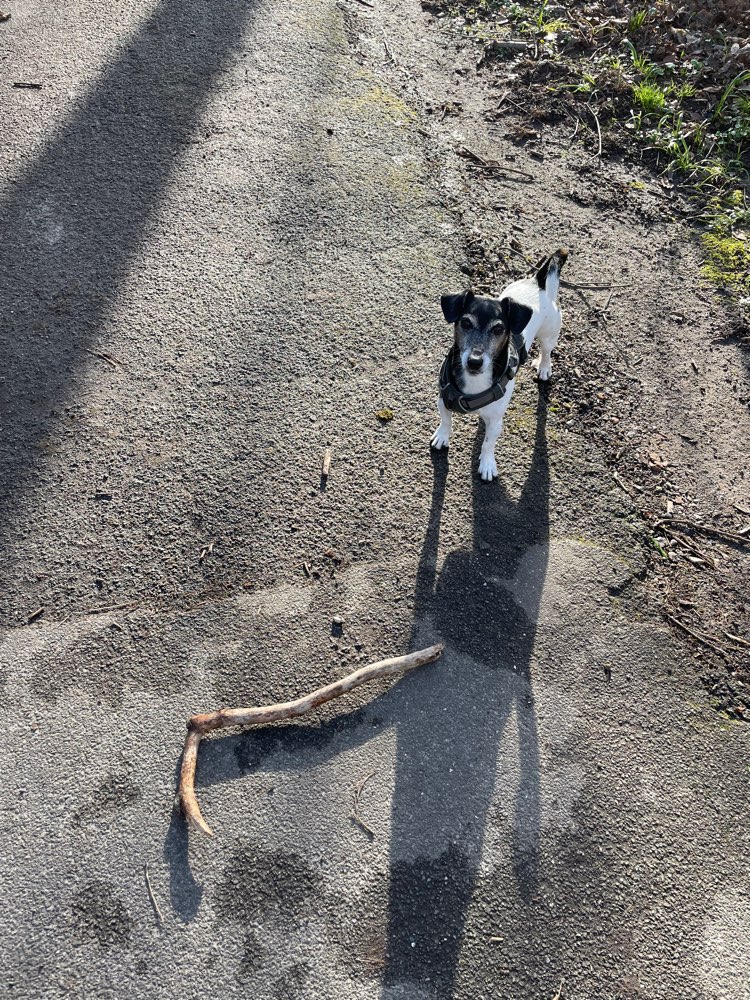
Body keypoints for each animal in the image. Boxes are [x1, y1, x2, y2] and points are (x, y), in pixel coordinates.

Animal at [432, 248, 568, 478]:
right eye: (465, 323)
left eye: (498, 329)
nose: (475, 362)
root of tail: (538, 282)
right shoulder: (444, 400)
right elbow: (446, 420)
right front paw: (442, 436)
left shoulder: (496, 422)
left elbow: (488, 443)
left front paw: (487, 464)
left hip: (550, 334)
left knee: (547, 351)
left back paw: (544, 368)